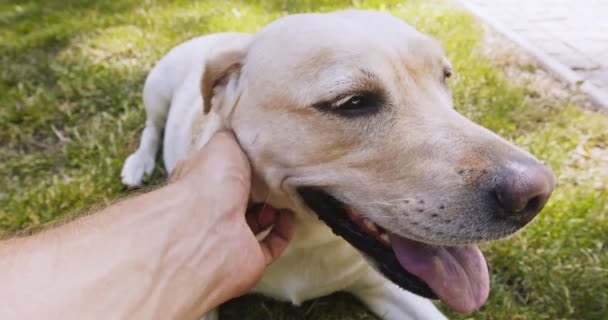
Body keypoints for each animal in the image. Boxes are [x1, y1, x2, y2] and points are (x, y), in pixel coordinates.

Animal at [120, 10, 556, 320]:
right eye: (353, 102)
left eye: (445, 77)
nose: (537, 194)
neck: (305, 241)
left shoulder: (385, 288)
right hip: (156, 91)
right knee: (151, 127)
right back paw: (138, 164)